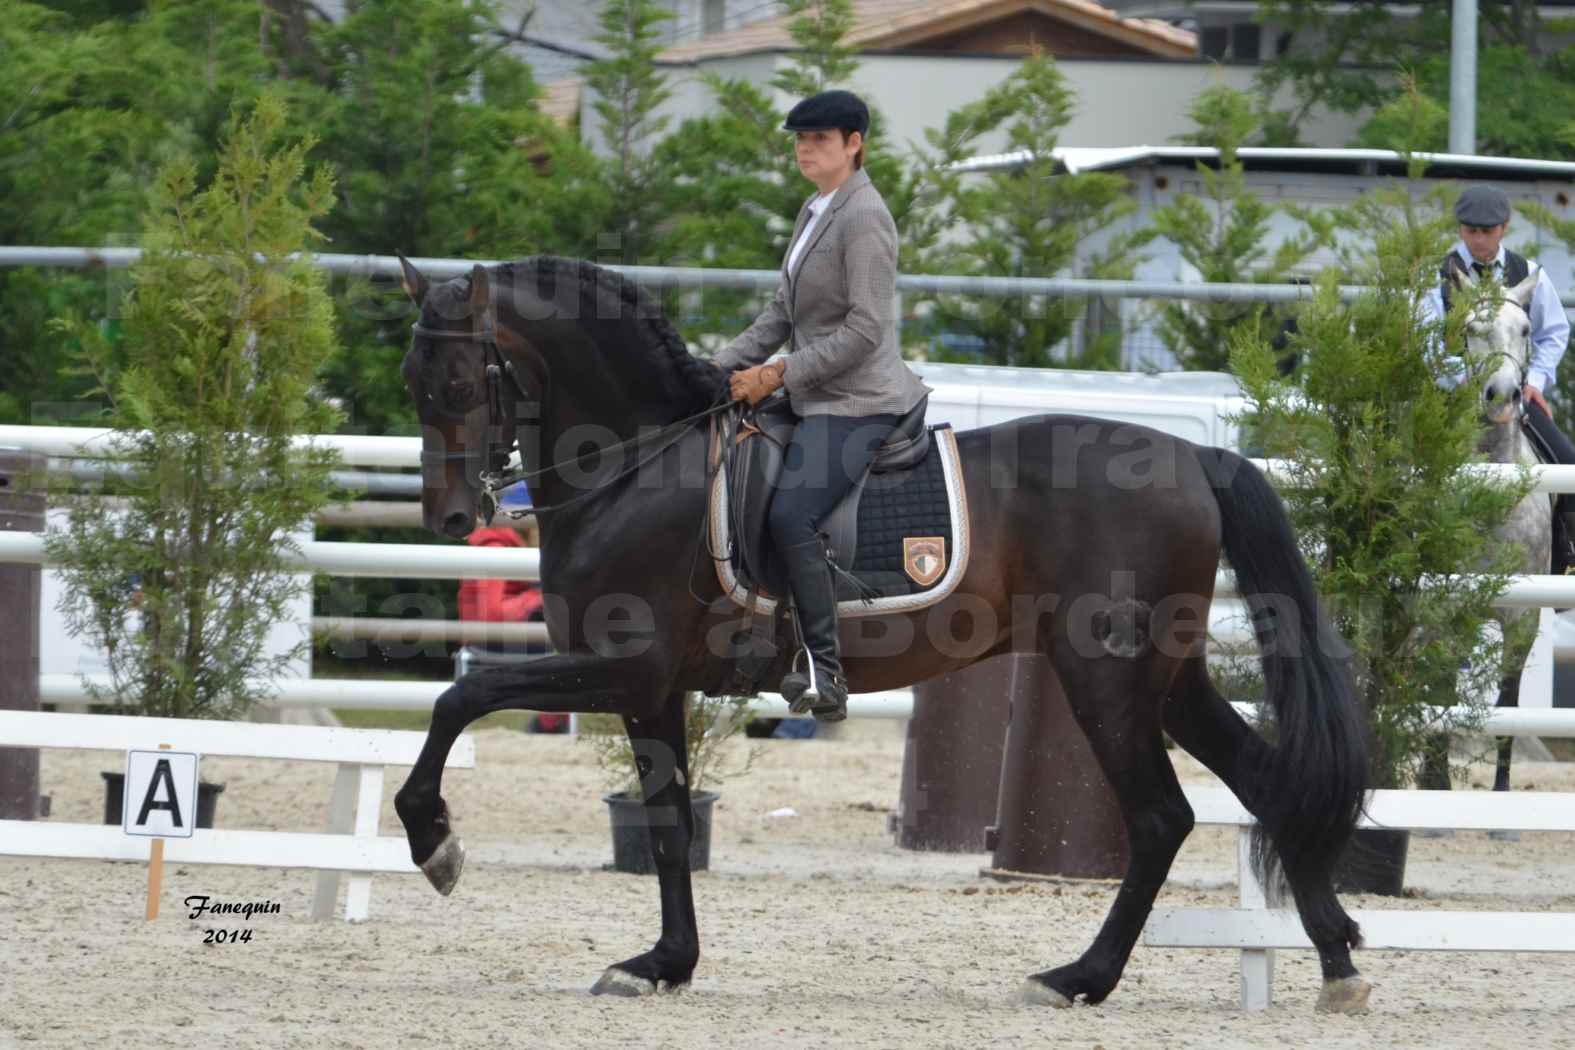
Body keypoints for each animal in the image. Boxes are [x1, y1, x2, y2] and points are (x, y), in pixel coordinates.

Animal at [390, 251, 1367, 1007]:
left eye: (459, 381)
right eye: (412, 384)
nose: (449, 519)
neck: (637, 465)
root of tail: (1194, 456)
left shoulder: (619, 666)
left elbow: (460, 695)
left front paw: (434, 843)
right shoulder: (649, 689)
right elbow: (665, 821)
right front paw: (663, 964)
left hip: (1105, 678)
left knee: (1161, 818)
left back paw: (1076, 978)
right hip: (1166, 680)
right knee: (1265, 783)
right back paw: (1336, 962)